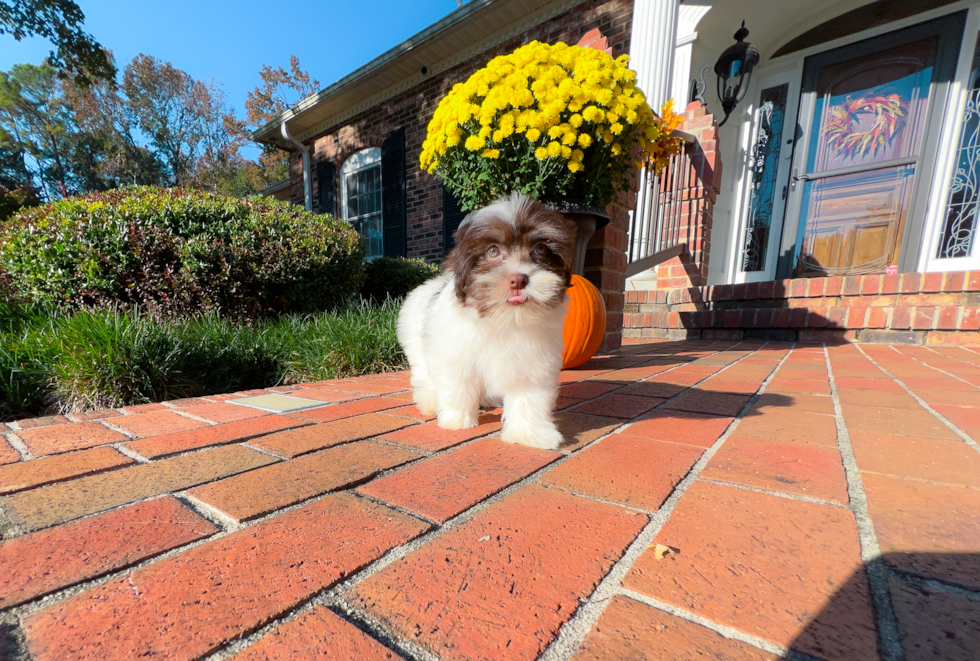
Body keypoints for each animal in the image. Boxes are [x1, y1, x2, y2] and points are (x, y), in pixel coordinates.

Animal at [396, 191, 576, 448]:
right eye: (492, 251)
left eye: (540, 249)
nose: (518, 279)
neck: (505, 320)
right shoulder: (455, 355)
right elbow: (456, 385)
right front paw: (456, 420)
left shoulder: (532, 363)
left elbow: (528, 397)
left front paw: (529, 434)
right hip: (417, 346)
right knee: (424, 374)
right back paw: (430, 401)